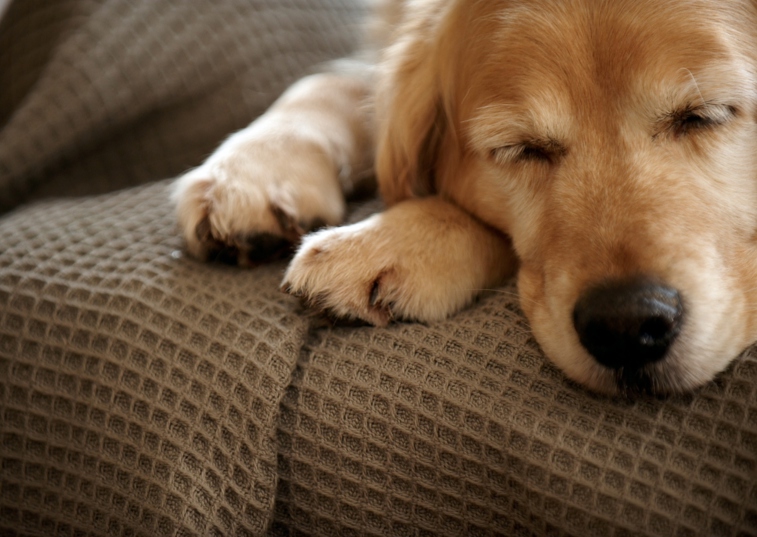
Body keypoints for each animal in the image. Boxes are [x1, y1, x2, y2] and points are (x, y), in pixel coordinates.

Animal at [174, 0, 756, 394]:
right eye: (520, 149)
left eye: (705, 116)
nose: (625, 326)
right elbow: (330, 80)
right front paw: (252, 171)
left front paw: (390, 240)